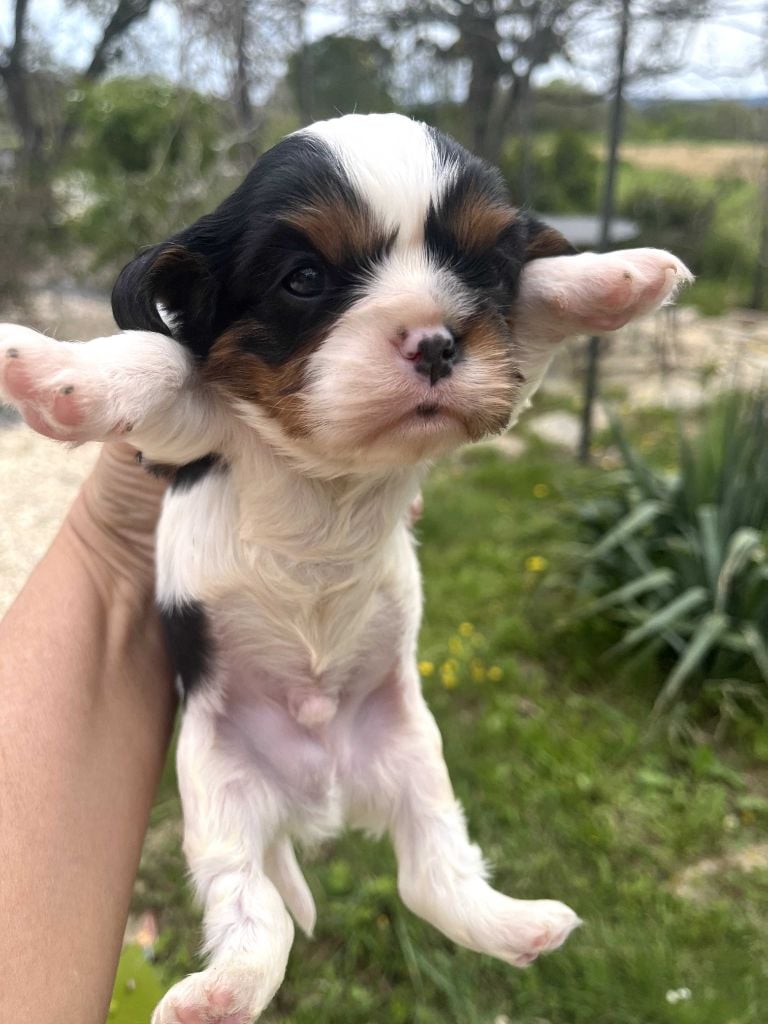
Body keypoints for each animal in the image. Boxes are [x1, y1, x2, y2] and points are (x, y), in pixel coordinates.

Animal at [0, 114, 696, 1024]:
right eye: (304, 280)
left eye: (481, 269)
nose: (437, 340)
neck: (333, 466)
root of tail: (320, 792)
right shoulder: (187, 441)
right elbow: (161, 362)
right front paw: (54, 369)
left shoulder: (507, 373)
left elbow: (532, 311)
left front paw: (620, 274)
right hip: (217, 788)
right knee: (254, 909)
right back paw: (222, 992)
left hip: (415, 759)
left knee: (430, 874)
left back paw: (519, 926)